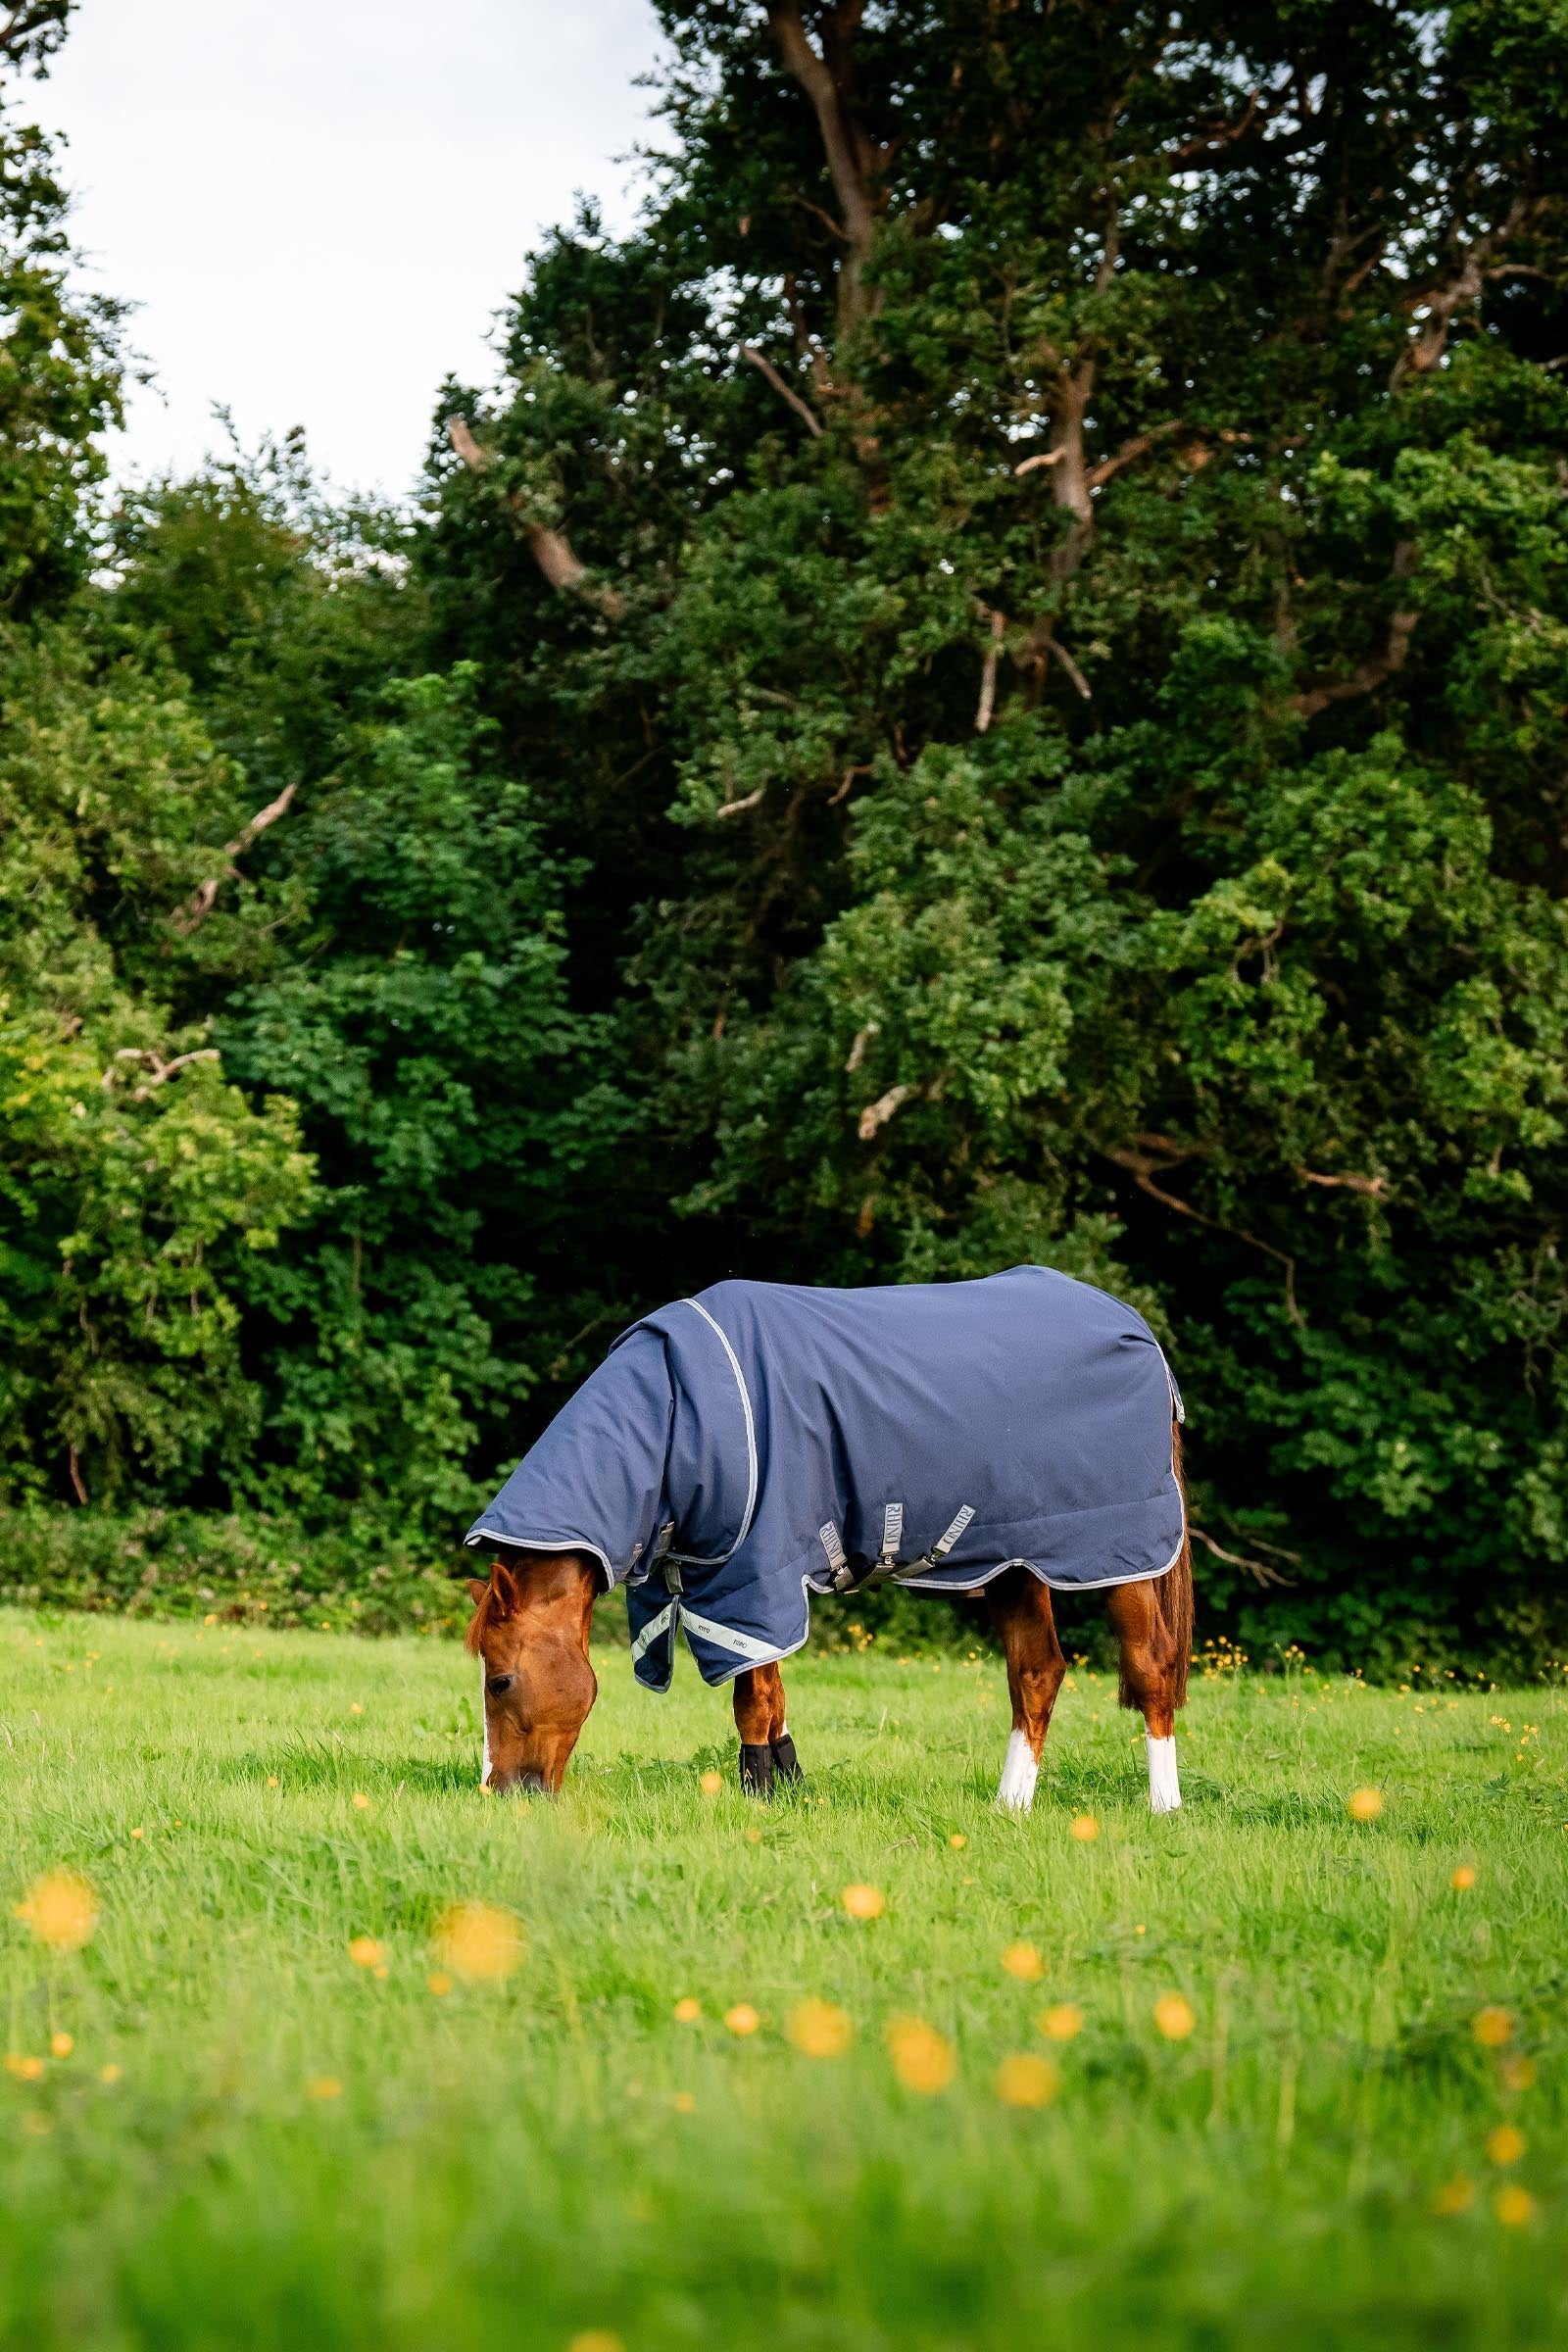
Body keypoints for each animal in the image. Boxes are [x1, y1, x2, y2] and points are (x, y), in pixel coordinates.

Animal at [462, 1266, 1194, 1815]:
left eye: (499, 1681)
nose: (500, 1792)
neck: (675, 1417)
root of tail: (1138, 1333)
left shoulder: (755, 1574)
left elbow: (752, 1700)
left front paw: (759, 1796)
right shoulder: (746, 1585)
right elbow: (773, 1693)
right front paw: (788, 1788)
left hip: (1120, 1555)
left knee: (1151, 1668)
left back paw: (1163, 1806)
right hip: (1016, 1562)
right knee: (1037, 1673)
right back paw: (1008, 1807)